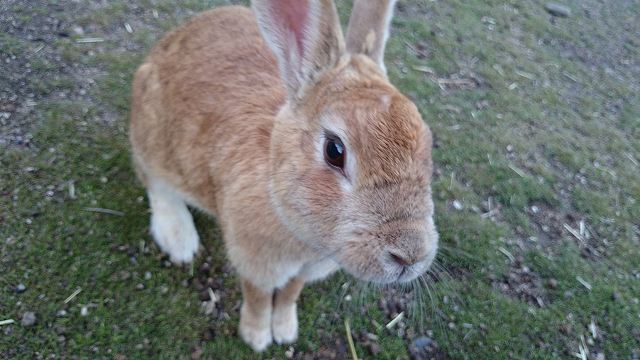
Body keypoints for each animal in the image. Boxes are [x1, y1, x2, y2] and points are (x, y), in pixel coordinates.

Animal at [130, 0, 440, 350]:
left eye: (427, 142)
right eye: (334, 150)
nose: (410, 256)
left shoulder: (306, 270)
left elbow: (291, 292)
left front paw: (285, 329)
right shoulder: (255, 263)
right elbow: (258, 297)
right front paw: (256, 337)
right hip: (150, 137)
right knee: (157, 186)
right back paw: (180, 240)